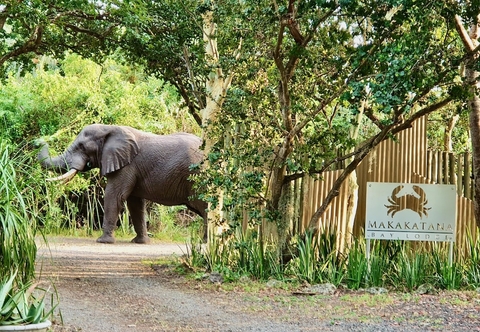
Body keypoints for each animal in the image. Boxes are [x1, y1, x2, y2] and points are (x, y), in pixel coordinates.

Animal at [38, 124, 208, 244]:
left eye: (81, 146)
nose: (38, 141)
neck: (109, 128)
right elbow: (135, 203)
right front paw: (140, 242)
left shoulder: (126, 165)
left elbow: (114, 196)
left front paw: (103, 241)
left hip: (197, 176)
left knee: (204, 206)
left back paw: (206, 242)